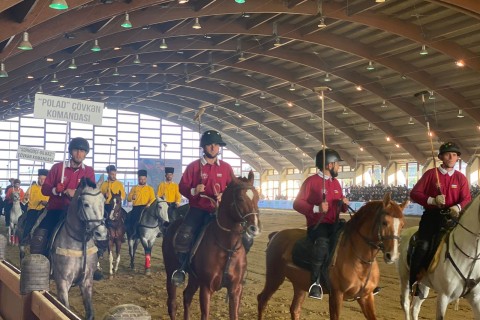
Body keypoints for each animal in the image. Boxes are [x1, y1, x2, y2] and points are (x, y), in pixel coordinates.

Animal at [51, 178, 108, 320]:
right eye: (86, 204)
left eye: (103, 201)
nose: (101, 233)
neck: (79, 241)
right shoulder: (63, 283)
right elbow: (66, 308)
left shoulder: (87, 281)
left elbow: (90, 312)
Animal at [162, 171, 260, 320]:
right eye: (240, 198)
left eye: (258, 197)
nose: (254, 228)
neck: (228, 248)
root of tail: (170, 226)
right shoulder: (206, 288)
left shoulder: (236, 289)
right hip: (171, 273)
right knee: (172, 304)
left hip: (194, 278)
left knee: (187, 296)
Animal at [258, 192, 404, 320]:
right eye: (384, 222)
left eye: (402, 225)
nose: (392, 255)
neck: (358, 258)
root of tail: (276, 235)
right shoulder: (336, 295)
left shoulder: (366, 296)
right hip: (274, 277)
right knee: (262, 300)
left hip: (299, 284)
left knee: (295, 309)